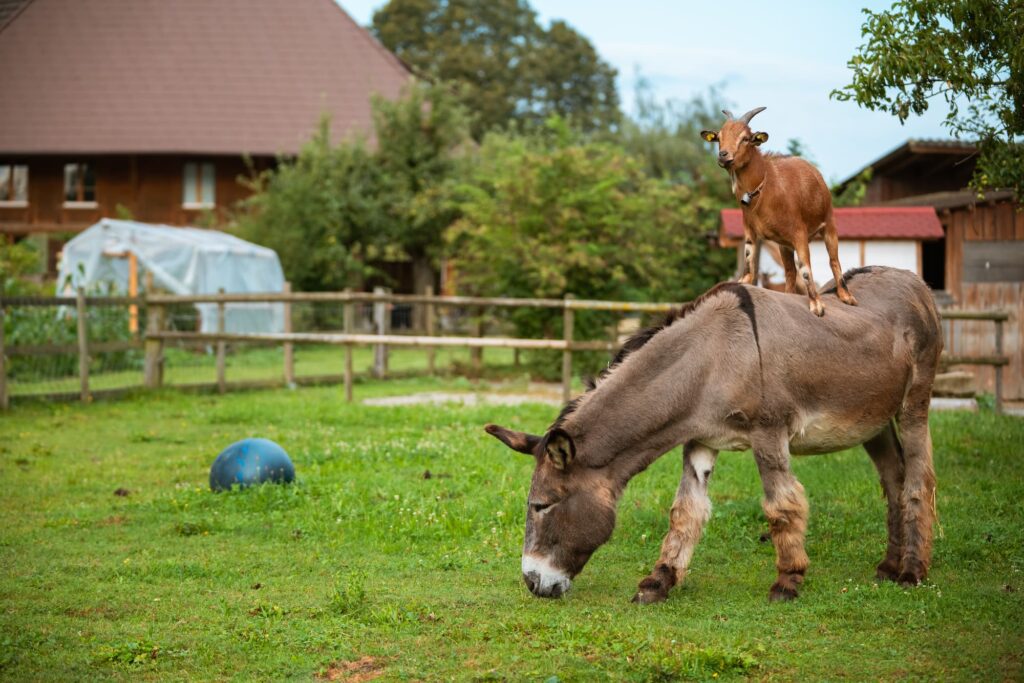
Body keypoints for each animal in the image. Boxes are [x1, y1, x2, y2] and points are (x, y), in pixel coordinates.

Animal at [700, 107, 857, 316]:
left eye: (746, 138)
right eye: (719, 137)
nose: (724, 155)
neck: (763, 189)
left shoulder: (799, 233)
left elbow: (805, 269)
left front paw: (817, 305)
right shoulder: (750, 230)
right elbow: (749, 260)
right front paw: (742, 283)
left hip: (829, 224)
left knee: (833, 260)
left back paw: (846, 296)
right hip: (784, 244)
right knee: (790, 272)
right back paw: (788, 296)